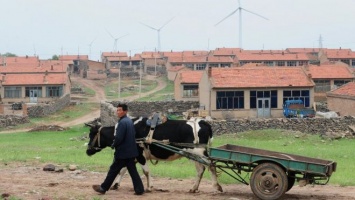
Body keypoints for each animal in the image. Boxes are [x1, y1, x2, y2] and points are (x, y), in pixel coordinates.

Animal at [85, 116, 222, 193]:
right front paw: (115, 185)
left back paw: (217, 187)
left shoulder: (140, 155)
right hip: (194, 155)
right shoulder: (132, 156)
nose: (87, 151)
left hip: (199, 153)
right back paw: (194, 188)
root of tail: (203, 122)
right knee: (201, 169)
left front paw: (149, 187)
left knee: (211, 165)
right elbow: (122, 169)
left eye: (91, 134)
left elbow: (145, 171)